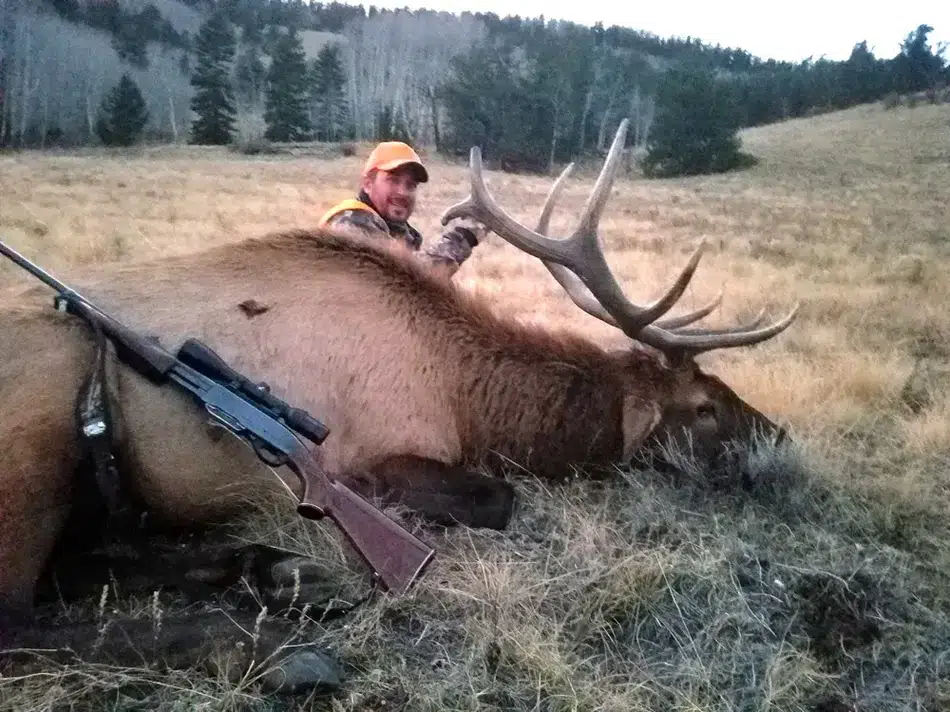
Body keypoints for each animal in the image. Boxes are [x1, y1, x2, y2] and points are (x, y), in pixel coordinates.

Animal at [0, 119, 796, 686]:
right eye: (704, 405)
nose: (780, 440)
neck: (462, 395)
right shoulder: (363, 464)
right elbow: (500, 496)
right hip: (39, 434)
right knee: (21, 623)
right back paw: (277, 649)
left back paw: (283, 574)